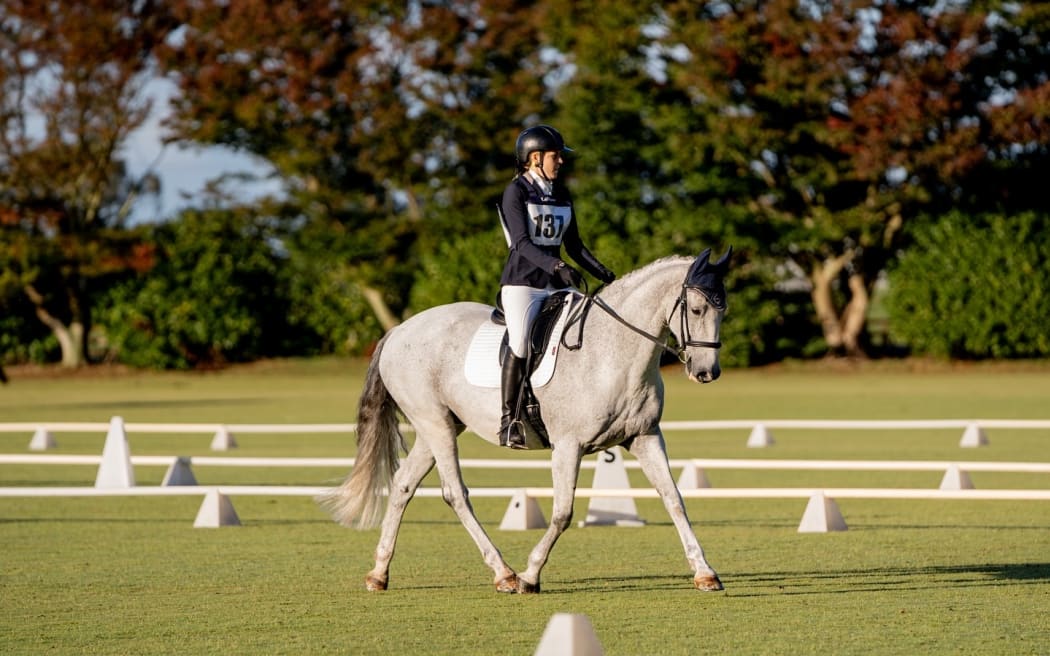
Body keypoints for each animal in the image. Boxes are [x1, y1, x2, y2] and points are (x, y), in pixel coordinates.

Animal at [318, 247, 732, 593]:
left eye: (723, 310)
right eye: (697, 310)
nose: (707, 372)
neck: (613, 352)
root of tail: (398, 330)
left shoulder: (645, 436)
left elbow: (674, 500)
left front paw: (705, 573)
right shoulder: (568, 446)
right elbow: (563, 513)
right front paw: (531, 576)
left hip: (439, 426)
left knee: (404, 485)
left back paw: (379, 573)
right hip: (435, 424)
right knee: (456, 494)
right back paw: (504, 574)